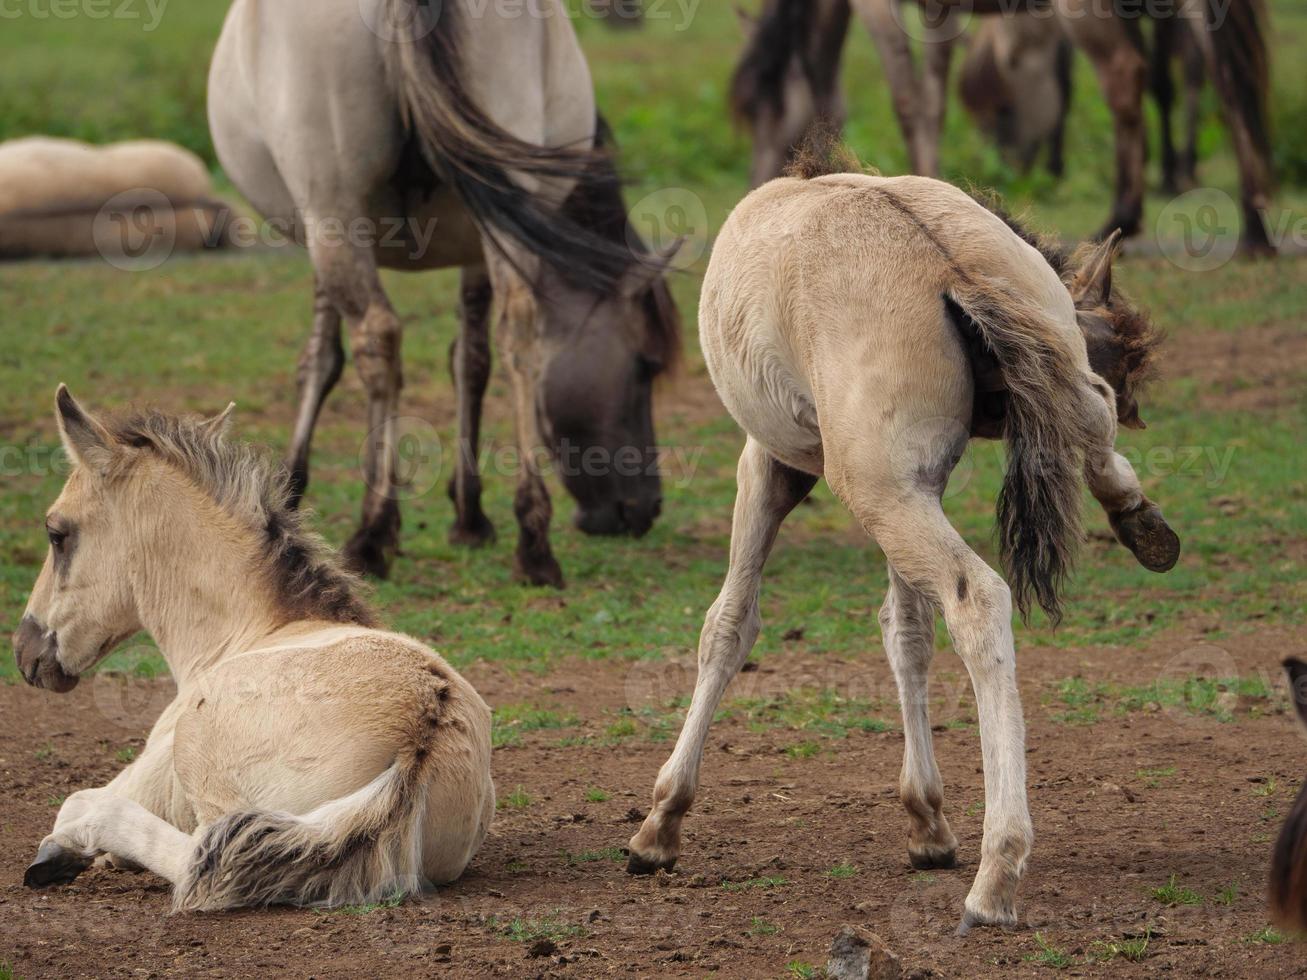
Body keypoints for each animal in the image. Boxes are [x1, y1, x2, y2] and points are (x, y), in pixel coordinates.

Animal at [14, 391, 494, 914]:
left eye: (56, 533)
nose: (24, 651)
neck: (253, 630)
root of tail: (422, 728)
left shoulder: (154, 767)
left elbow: (74, 802)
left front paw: (67, 850)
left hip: (202, 765)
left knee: (198, 854)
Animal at [207, 0, 679, 588]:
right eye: (645, 366)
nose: (646, 508)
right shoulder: (482, 239)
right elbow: (472, 361)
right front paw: (470, 513)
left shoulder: (318, 231)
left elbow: (322, 359)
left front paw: (293, 494)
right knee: (518, 335)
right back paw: (533, 541)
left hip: (333, 213)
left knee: (379, 338)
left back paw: (373, 533)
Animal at [737, 0, 1275, 254]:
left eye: (765, 109)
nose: (756, 186)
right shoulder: (937, 11)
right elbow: (934, 101)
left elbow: (908, 101)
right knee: (1228, 83)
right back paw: (1254, 226)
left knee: (1127, 78)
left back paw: (1122, 214)